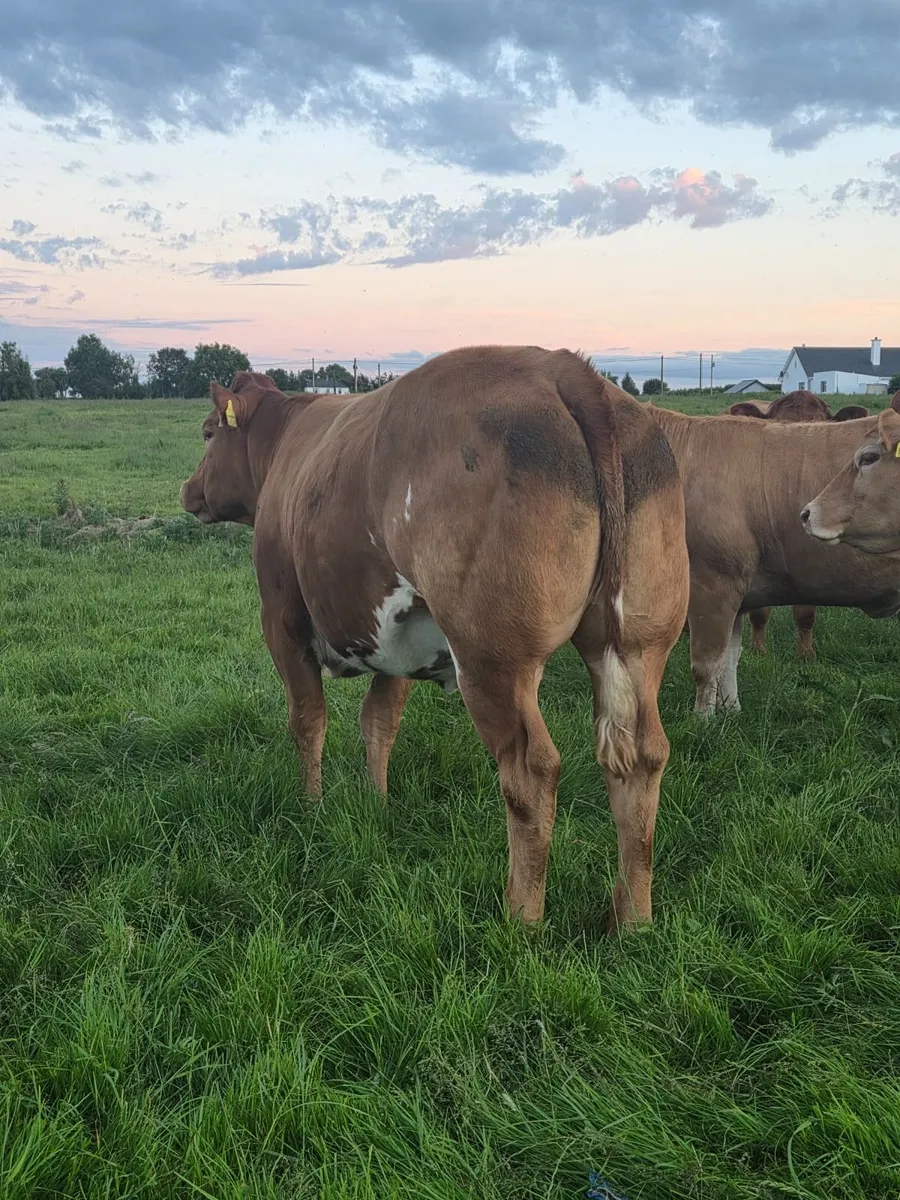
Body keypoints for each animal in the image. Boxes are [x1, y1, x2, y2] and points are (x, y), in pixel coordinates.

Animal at [180, 347, 690, 929]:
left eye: (207, 433)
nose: (188, 490)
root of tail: (562, 367)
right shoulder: (401, 640)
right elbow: (378, 723)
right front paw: (376, 803)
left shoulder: (282, 619)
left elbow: (308, 720)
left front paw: (311, 807)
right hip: (637, 646)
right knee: (641, 758)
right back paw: (632, 918)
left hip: (494, 658)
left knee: (530, 771)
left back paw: (521, 917)